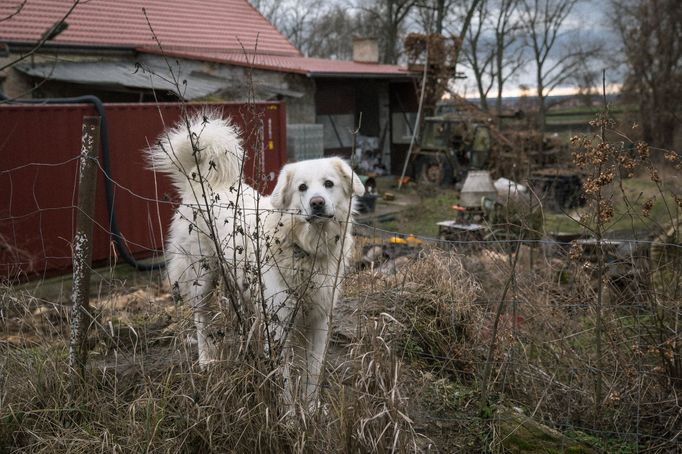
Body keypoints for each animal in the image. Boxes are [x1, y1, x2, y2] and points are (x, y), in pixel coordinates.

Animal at [147, 112, 364, 408]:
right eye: (302, 188)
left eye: (329, 184)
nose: (317, 203)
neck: (303, 246)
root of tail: (201, 183)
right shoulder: (278, 322)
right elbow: (284, 379)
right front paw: (288, 415)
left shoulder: (319, 320)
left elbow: (312, 372)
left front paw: (310, 409)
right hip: (201, 277)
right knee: (200, 319)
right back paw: (206, 360)